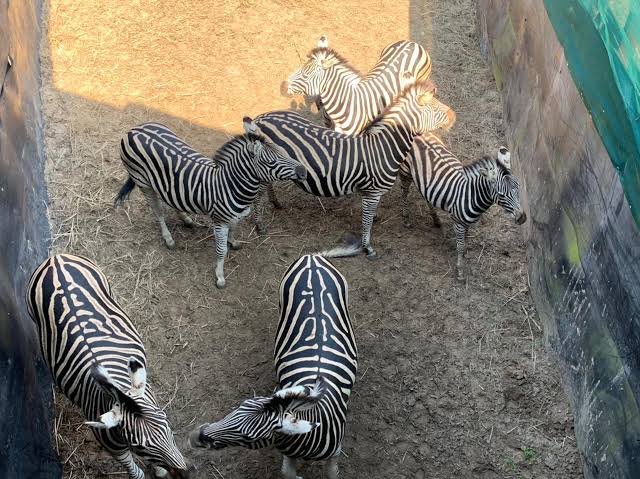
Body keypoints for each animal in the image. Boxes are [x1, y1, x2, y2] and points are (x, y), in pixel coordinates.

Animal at [26, 254, 192, 479]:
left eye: (167, 423)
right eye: (140, 446)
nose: (187, 474)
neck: (116, 391)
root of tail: (56, 259)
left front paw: (160, 471)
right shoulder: (114, 449)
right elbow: (136, 472)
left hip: (108, 291)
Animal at [114, 121, 307, 288]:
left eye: (284, 152)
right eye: (271, 162)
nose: (304, 171)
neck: (230, 185)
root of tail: (135, 129)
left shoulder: (235, 217)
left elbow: (234, 230)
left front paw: (233, 241)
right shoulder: (219, 221)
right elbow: (221, 250)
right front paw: (220, 276)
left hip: (165, 182)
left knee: (172, 198)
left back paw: (187, 219)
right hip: (143, 183)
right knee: (158, 212)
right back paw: (168, 237)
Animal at [189, 252, 358, 479]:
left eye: (248, 437)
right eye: (237, 409)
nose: (195, 436)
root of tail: (311, 257)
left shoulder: (335, 452)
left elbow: (332, 473)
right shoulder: (288, 452)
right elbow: (287, 473)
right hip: (282, 303)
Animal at [248, 80, 456, 259]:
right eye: (434, 107)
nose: (454, 115)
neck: (383, 148)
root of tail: (261, 118)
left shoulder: (370, 192)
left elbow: (369, 216)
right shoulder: (373, 192)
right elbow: (366, 221)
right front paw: (367, 248)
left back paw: (275, 203)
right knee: (256, 197)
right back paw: (259, 226)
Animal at [400, 135, 527, 280]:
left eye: (518, 187)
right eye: (501, 194)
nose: (522, 218)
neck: (470, 195)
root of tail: (418, 134)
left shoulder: (466, 223)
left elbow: (464, 239)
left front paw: (464, 254)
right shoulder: (458, 223)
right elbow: (460, 245)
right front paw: (460, 270)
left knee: (425, 194)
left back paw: (435, 219)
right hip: (405, 172)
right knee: (404, 192)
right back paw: (406, 218)